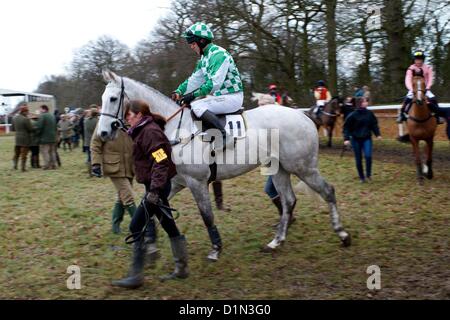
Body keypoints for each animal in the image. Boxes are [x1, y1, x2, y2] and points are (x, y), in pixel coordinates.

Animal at [97, 70, 352, 260]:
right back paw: (276, 242)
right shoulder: (173, 182)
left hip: (303, 167)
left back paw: (342, 234)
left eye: (112, 99)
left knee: (328, 191)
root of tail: (303, 116)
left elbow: (207, 215)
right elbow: (149, 209)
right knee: (288, 201)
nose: (102, 133)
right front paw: (149, 245)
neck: (175, 130)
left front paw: (216, 248)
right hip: (279, 169)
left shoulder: (196, 182)